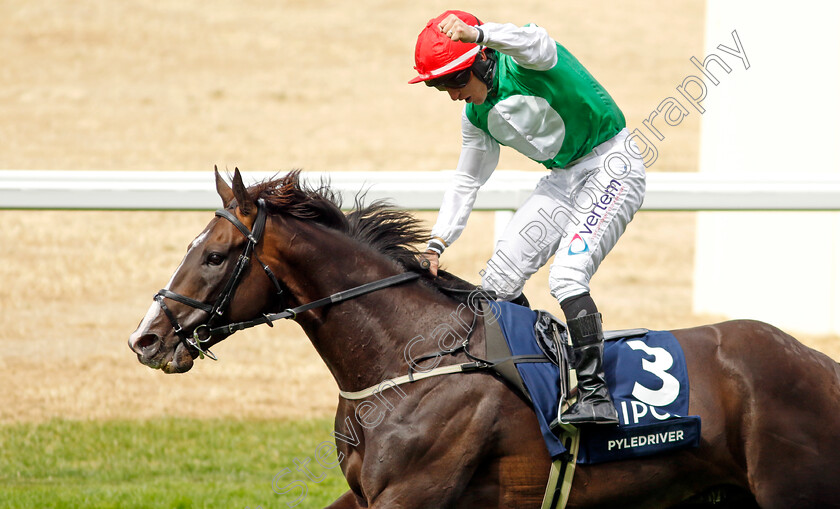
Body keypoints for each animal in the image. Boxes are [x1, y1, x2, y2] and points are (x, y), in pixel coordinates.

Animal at [128, 169, 840, 506]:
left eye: (215, 256)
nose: (147, 339)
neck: (410, 359)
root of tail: (819, 362)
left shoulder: (413, 493)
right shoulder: (366, 494)